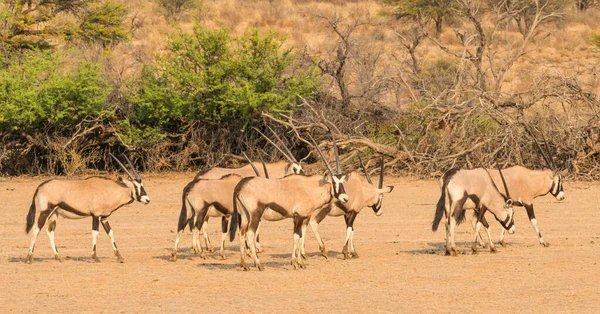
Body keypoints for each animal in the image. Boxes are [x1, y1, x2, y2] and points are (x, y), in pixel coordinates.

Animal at [231, 135, 352, 270]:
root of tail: (241, 185)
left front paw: (299, 262)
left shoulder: (298, 217)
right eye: (334, 182)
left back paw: (244, 264)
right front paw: (296, 262)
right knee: (250, 234)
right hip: (255, 214)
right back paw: (258, 264)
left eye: (343, 181)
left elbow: (299, 236)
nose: (345, 198)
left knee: (241, 233)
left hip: (245, 215)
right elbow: (296, 236)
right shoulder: (299, 216)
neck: (310, 188)